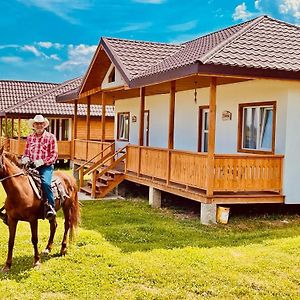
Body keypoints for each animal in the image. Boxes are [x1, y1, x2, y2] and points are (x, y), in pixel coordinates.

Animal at [0, 146, 79, 274]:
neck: (20, 191)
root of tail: (69, 178)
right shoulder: (12, 220)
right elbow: (10, 241)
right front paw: (7, 265)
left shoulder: (33, 220)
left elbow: (34, 239)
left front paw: (36, 262)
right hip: (52, 213)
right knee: (54, 225)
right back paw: (48, 248)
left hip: (67, 207)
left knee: (67, 225)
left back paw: (63, 249)